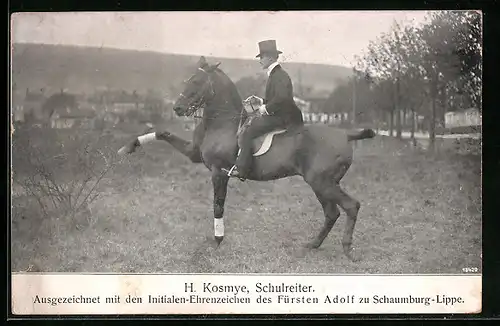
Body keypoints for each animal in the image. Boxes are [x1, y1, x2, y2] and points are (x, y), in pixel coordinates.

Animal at [118, 56, 376, 260]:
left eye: (197, 82)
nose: (178, 108)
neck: (222, 122)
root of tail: (345, 134)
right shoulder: (193, 153)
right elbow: (163, 133)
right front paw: (128, 147)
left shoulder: (219, 172)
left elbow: (218, 205)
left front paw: (218, 239)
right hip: (320, 184)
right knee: (332, 213)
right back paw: (313, 244)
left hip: (322, 182)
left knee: (351, 206)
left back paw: (347, 249)